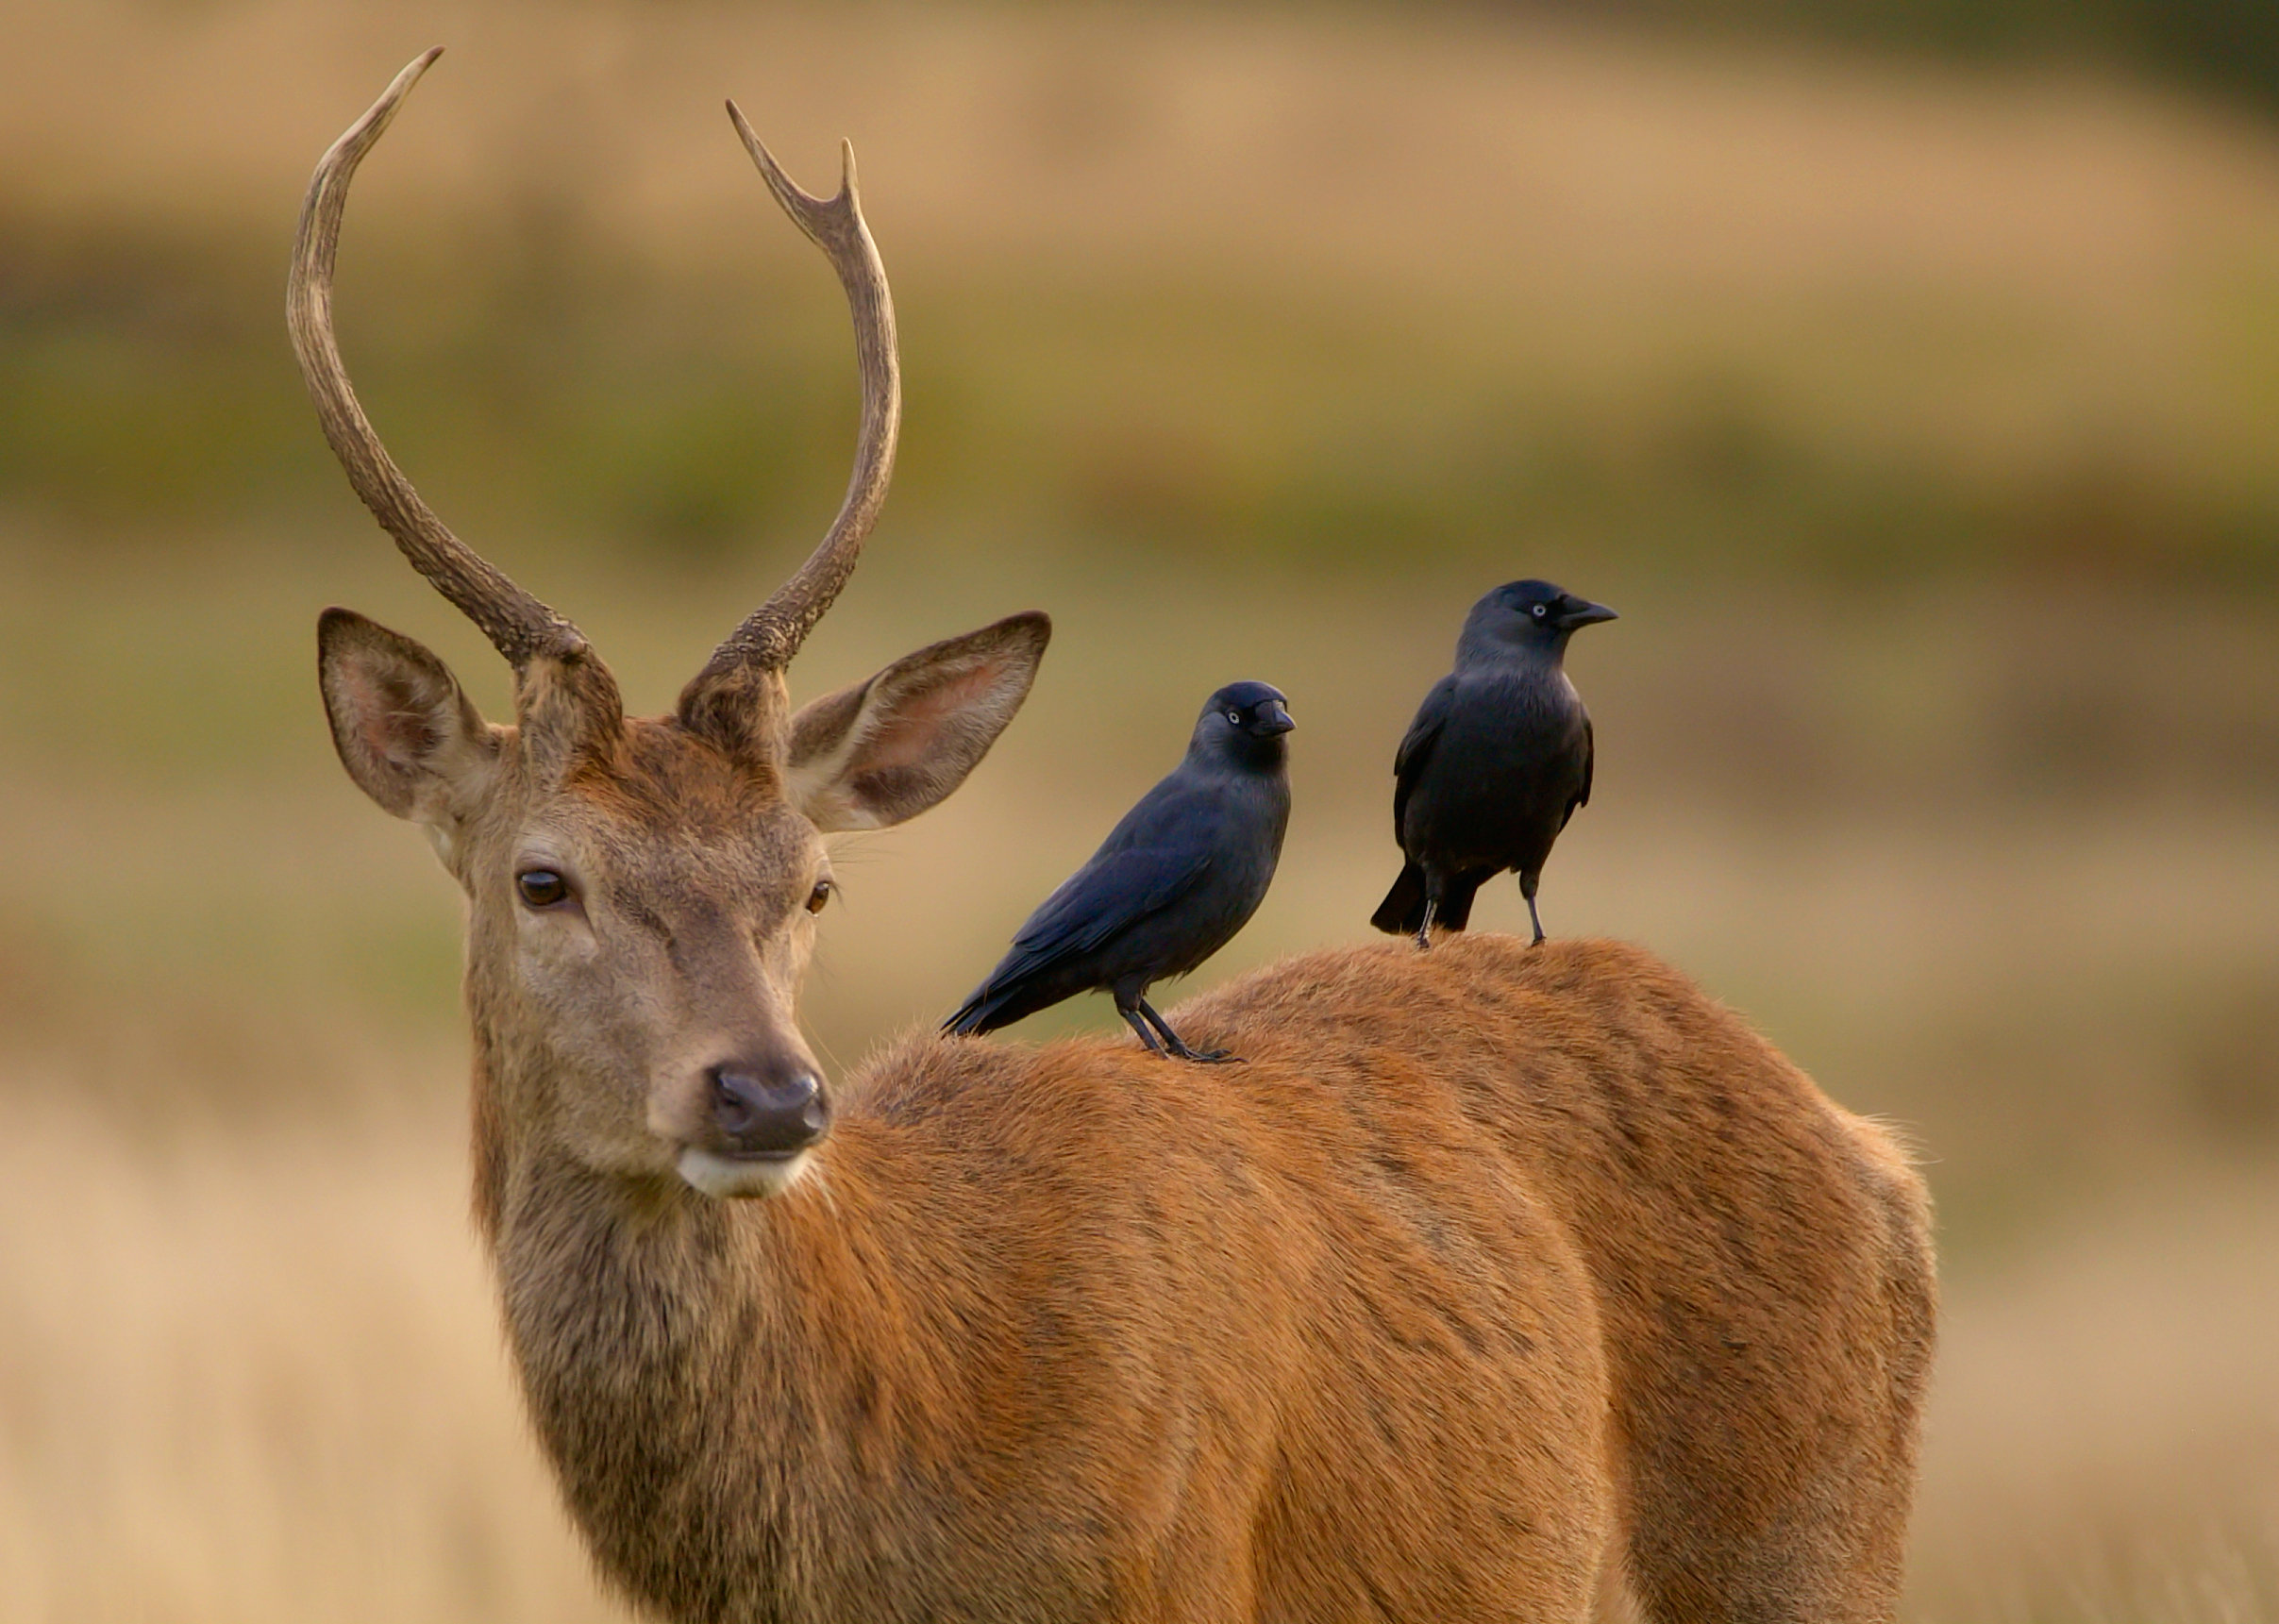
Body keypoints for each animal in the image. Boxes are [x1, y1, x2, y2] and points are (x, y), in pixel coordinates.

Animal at [293, 50, 1932, 1621]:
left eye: (813, 883)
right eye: (541, 878)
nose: (766, 1097)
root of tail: (1875, 1155)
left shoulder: (1178, 1569)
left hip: (1814, 1536)